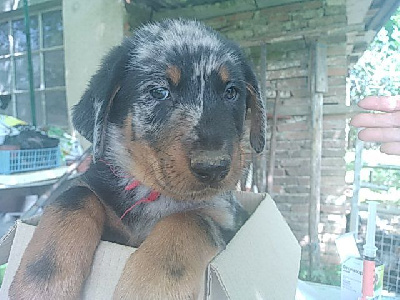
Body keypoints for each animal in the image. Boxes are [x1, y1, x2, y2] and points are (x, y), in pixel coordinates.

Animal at [8, 19, 266, 300]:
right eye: (159, 91)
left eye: (231, 92)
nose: (214, 167)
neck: (152, 192)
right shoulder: (91, 187)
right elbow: (74, 197)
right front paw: (43, 279)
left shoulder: (226, 217)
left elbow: (189, 219)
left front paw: (152, 286)